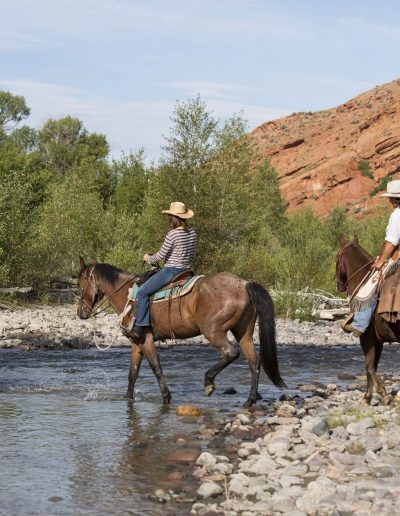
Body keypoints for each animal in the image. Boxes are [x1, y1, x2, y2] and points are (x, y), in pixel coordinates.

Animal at [76, 258, 286, 408]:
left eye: (80, 283)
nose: (80, 313)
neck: (128, 295)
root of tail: (244, 284)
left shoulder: (146, 339)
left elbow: (156, 368)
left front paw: (166, 397)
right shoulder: (136, 343)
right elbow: (132, 374)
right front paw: (128, 398)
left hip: (213, 331)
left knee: (231, 353)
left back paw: (209, 381)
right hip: (243, 333)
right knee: (254, 362)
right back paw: (250, 400)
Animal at [336, 236, 398, 406]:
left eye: (337, 258)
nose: (338, 285)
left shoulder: (366, 337)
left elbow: (369, 366)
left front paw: (381, 395)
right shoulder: (379, 340)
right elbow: (373, 366)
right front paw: (369, 396)